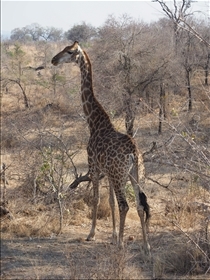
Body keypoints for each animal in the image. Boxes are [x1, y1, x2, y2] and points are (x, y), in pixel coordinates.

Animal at [52, 41, 151, 254]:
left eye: (69, 52)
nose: (53, 60)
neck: (95, 123)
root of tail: (134, 153)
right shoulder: (108, 173)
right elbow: (111, 202)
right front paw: (113, 235)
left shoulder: (94, 167)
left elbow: (97, 199)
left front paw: (92, 234)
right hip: (134, 174)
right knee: (139, 206)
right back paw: (146, 246)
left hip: (120, 175)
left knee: (125, 205)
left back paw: (122, 244)